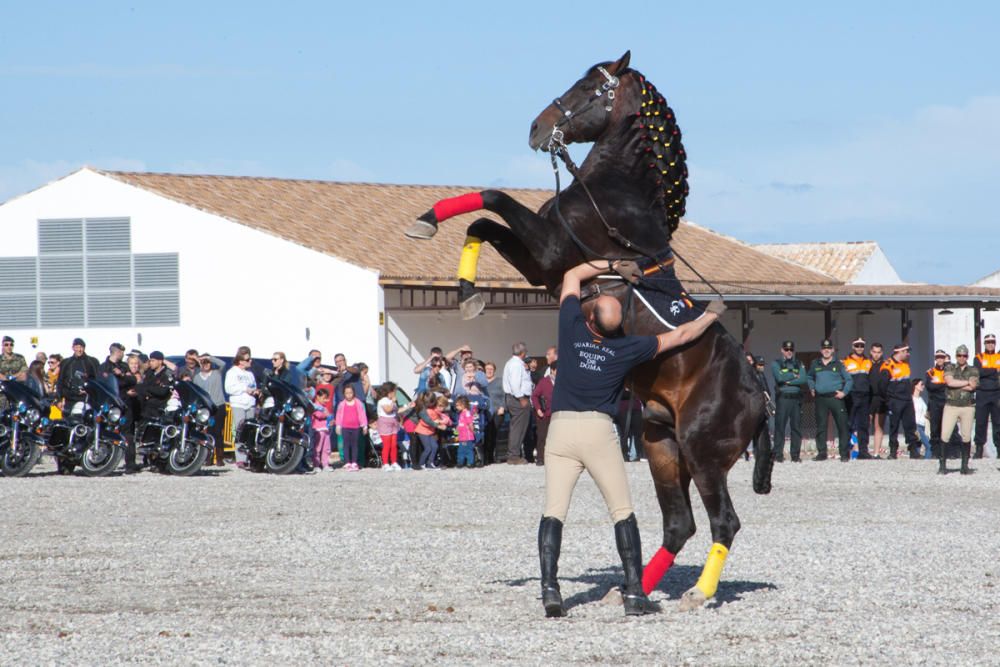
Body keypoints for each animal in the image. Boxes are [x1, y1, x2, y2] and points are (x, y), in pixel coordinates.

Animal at [406, 52, 772, 612]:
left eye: (585, 88)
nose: (537, 129)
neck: (615, 195)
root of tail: (759, 393)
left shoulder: (551, 251)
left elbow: (492, 198)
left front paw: (431, 228)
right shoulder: (544, 266)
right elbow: (482, 224)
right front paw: (464, 285)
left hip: (702, 451)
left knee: (722, 522)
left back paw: (697, 593)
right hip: (660, 442)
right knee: (679, 523)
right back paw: (632, 590)